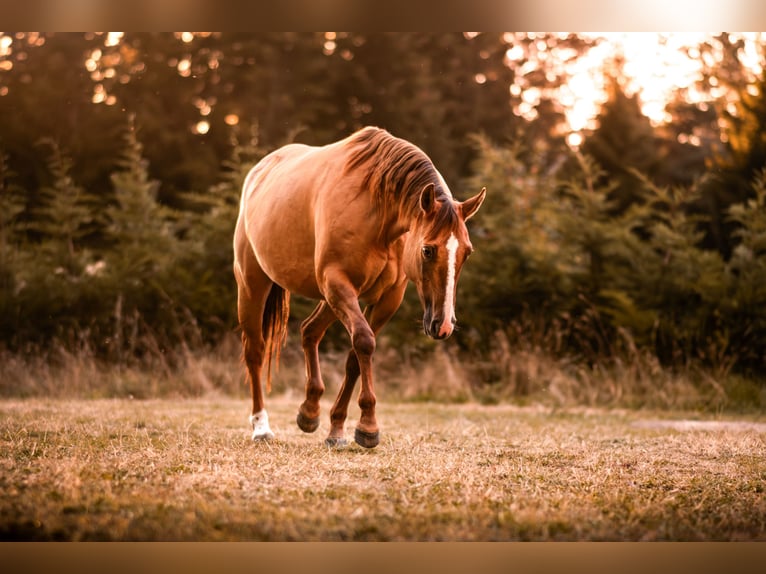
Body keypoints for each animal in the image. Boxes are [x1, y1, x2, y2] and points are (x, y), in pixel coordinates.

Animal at [233, 126, 485, 448]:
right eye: (428, 250)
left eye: (467, 252)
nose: (443, 325)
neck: (377, 213)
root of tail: (258, 173)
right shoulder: (338, 283)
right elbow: (364, 341)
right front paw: (368, 426)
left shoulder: (387, 298)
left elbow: (355, 356)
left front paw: (338, 429)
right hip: (254, 285)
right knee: (254, 350)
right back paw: (261, 427)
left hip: (329, 298)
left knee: (310, 331)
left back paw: (309, 411)